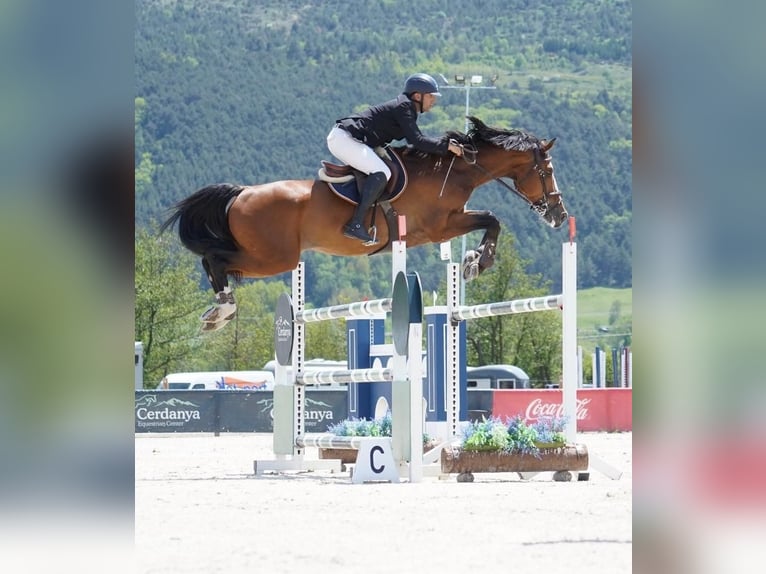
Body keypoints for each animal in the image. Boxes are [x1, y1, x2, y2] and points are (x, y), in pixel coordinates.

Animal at [161, 116, 568, 331]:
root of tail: (241, 193)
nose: (560, 216)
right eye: (547, 171)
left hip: (268, 255)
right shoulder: (439, 227)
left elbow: (490, 220)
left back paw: (217, 310)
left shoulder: (444, 225)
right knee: (215, 259)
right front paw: (477, 263)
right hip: (274, 257)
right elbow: (492, 219)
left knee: (212, 260)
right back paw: (222, 310)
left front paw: (471, 262)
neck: (452, 172)